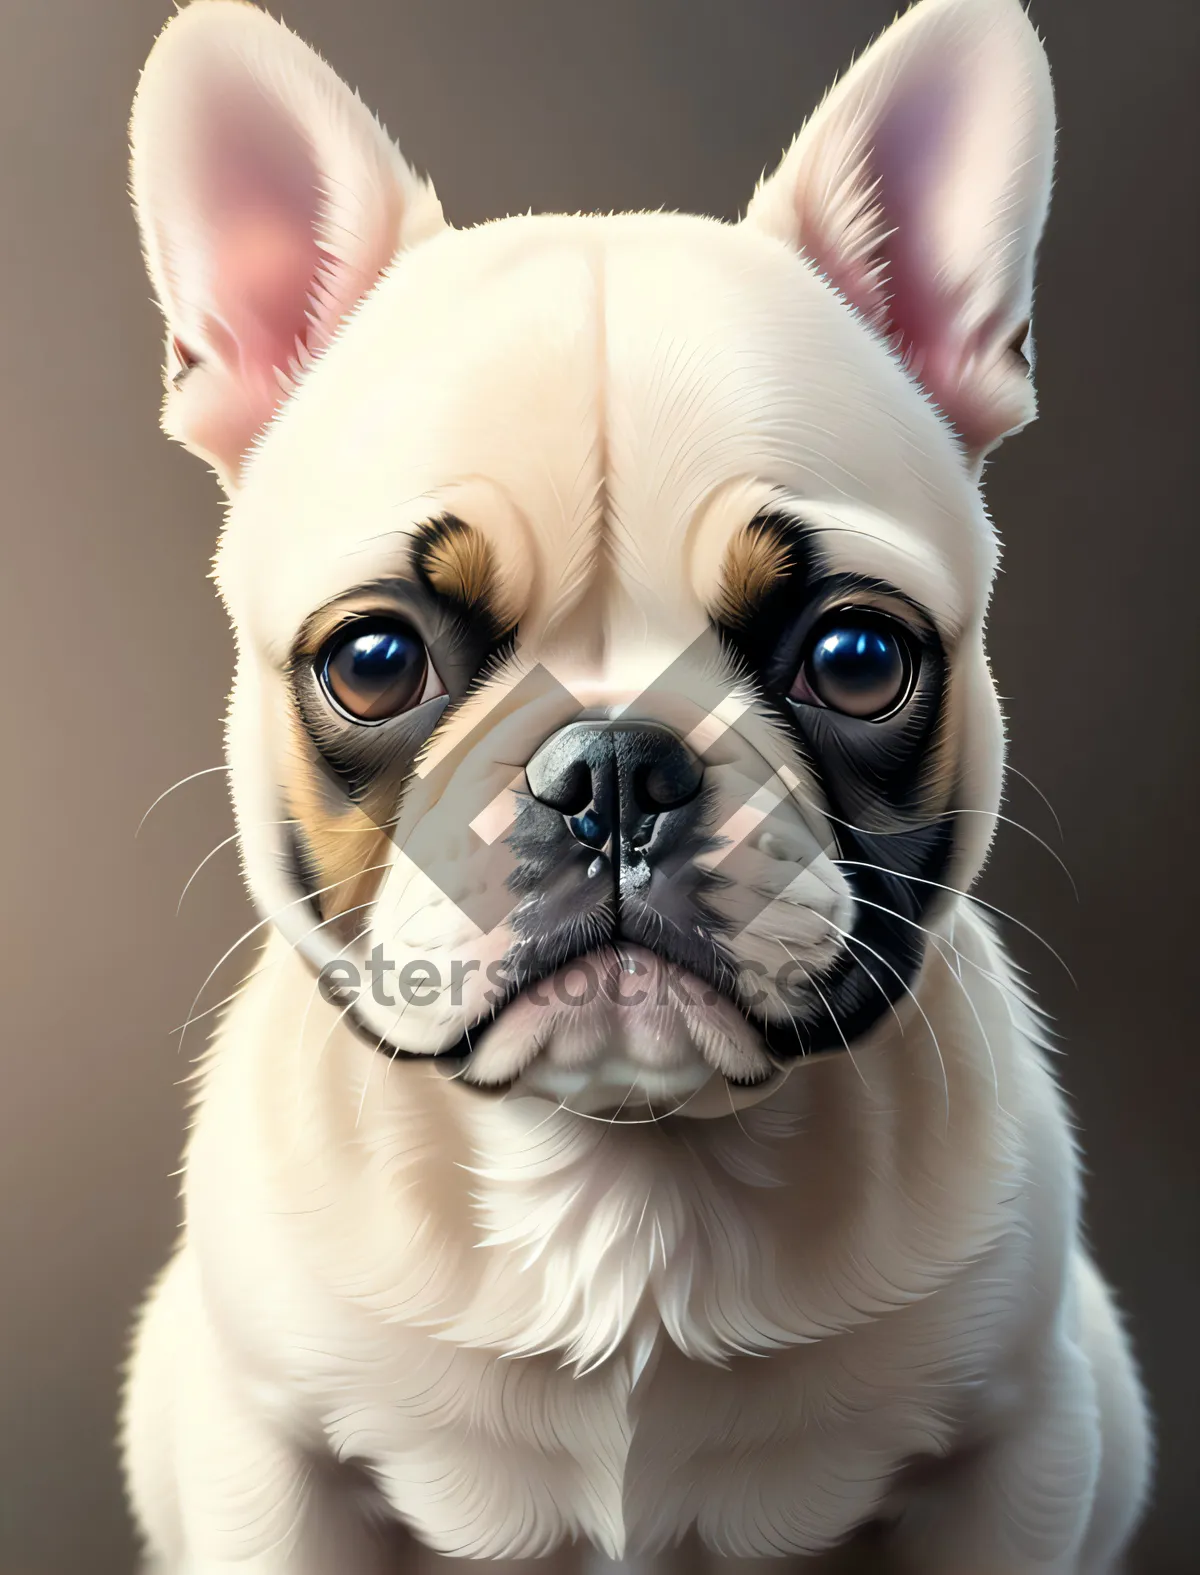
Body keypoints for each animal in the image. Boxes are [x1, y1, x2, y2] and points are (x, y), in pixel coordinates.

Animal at [121, 3, 1152, 1575]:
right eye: (374, 659)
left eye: (859, 657)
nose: (611, 765)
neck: (623, 1184)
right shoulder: (269, 1460)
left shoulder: (1017, 1445)